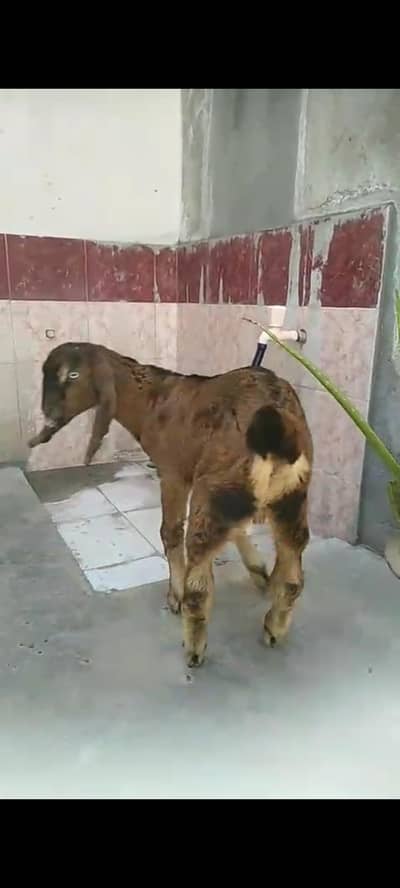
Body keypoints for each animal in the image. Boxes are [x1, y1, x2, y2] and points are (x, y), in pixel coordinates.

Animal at [29, 342, 313, 667]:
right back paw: (274, 627)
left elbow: (170, 532)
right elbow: (238, 530)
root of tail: (275, 435)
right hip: (290, 500)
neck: (152, 401)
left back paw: (194, 647)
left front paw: (173, 596)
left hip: (214, 488)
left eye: (73, 375)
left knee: (199, 583)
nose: (49, 415)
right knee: (293, 571)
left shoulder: (174, 473)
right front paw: (260, 572)